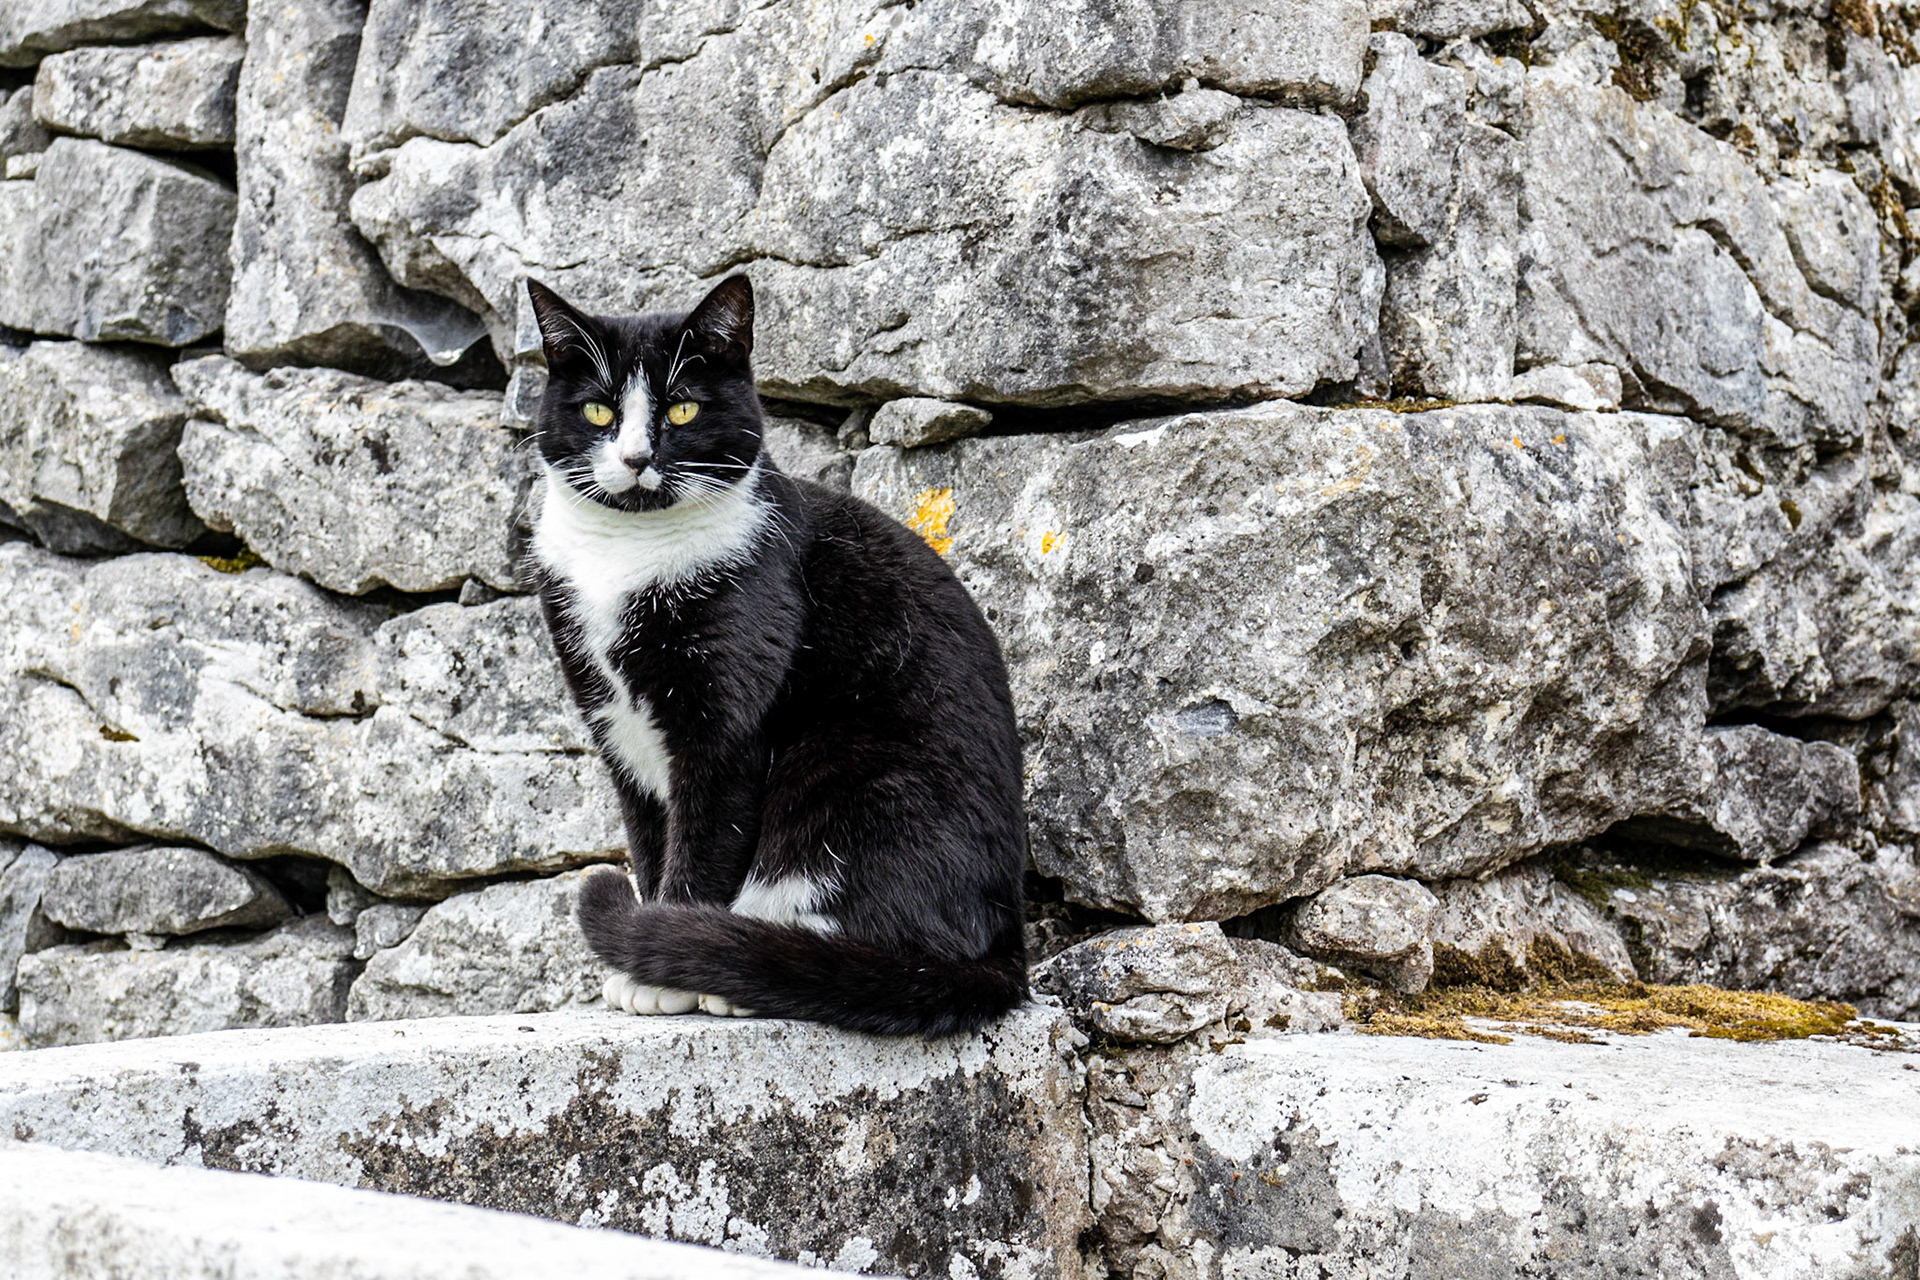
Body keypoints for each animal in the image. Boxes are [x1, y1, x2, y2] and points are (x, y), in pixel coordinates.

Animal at [525, 274, 1029, 1036]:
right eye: (597, 410)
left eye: (683, 406)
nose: (638, 459)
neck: (626, 558)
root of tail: (1010, 941)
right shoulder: (614, 722)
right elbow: (648, 837)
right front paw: (645, 950)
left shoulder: (726, 714)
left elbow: (706, 837)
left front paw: (661, 966)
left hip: (847, 773)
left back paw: (741, 971)